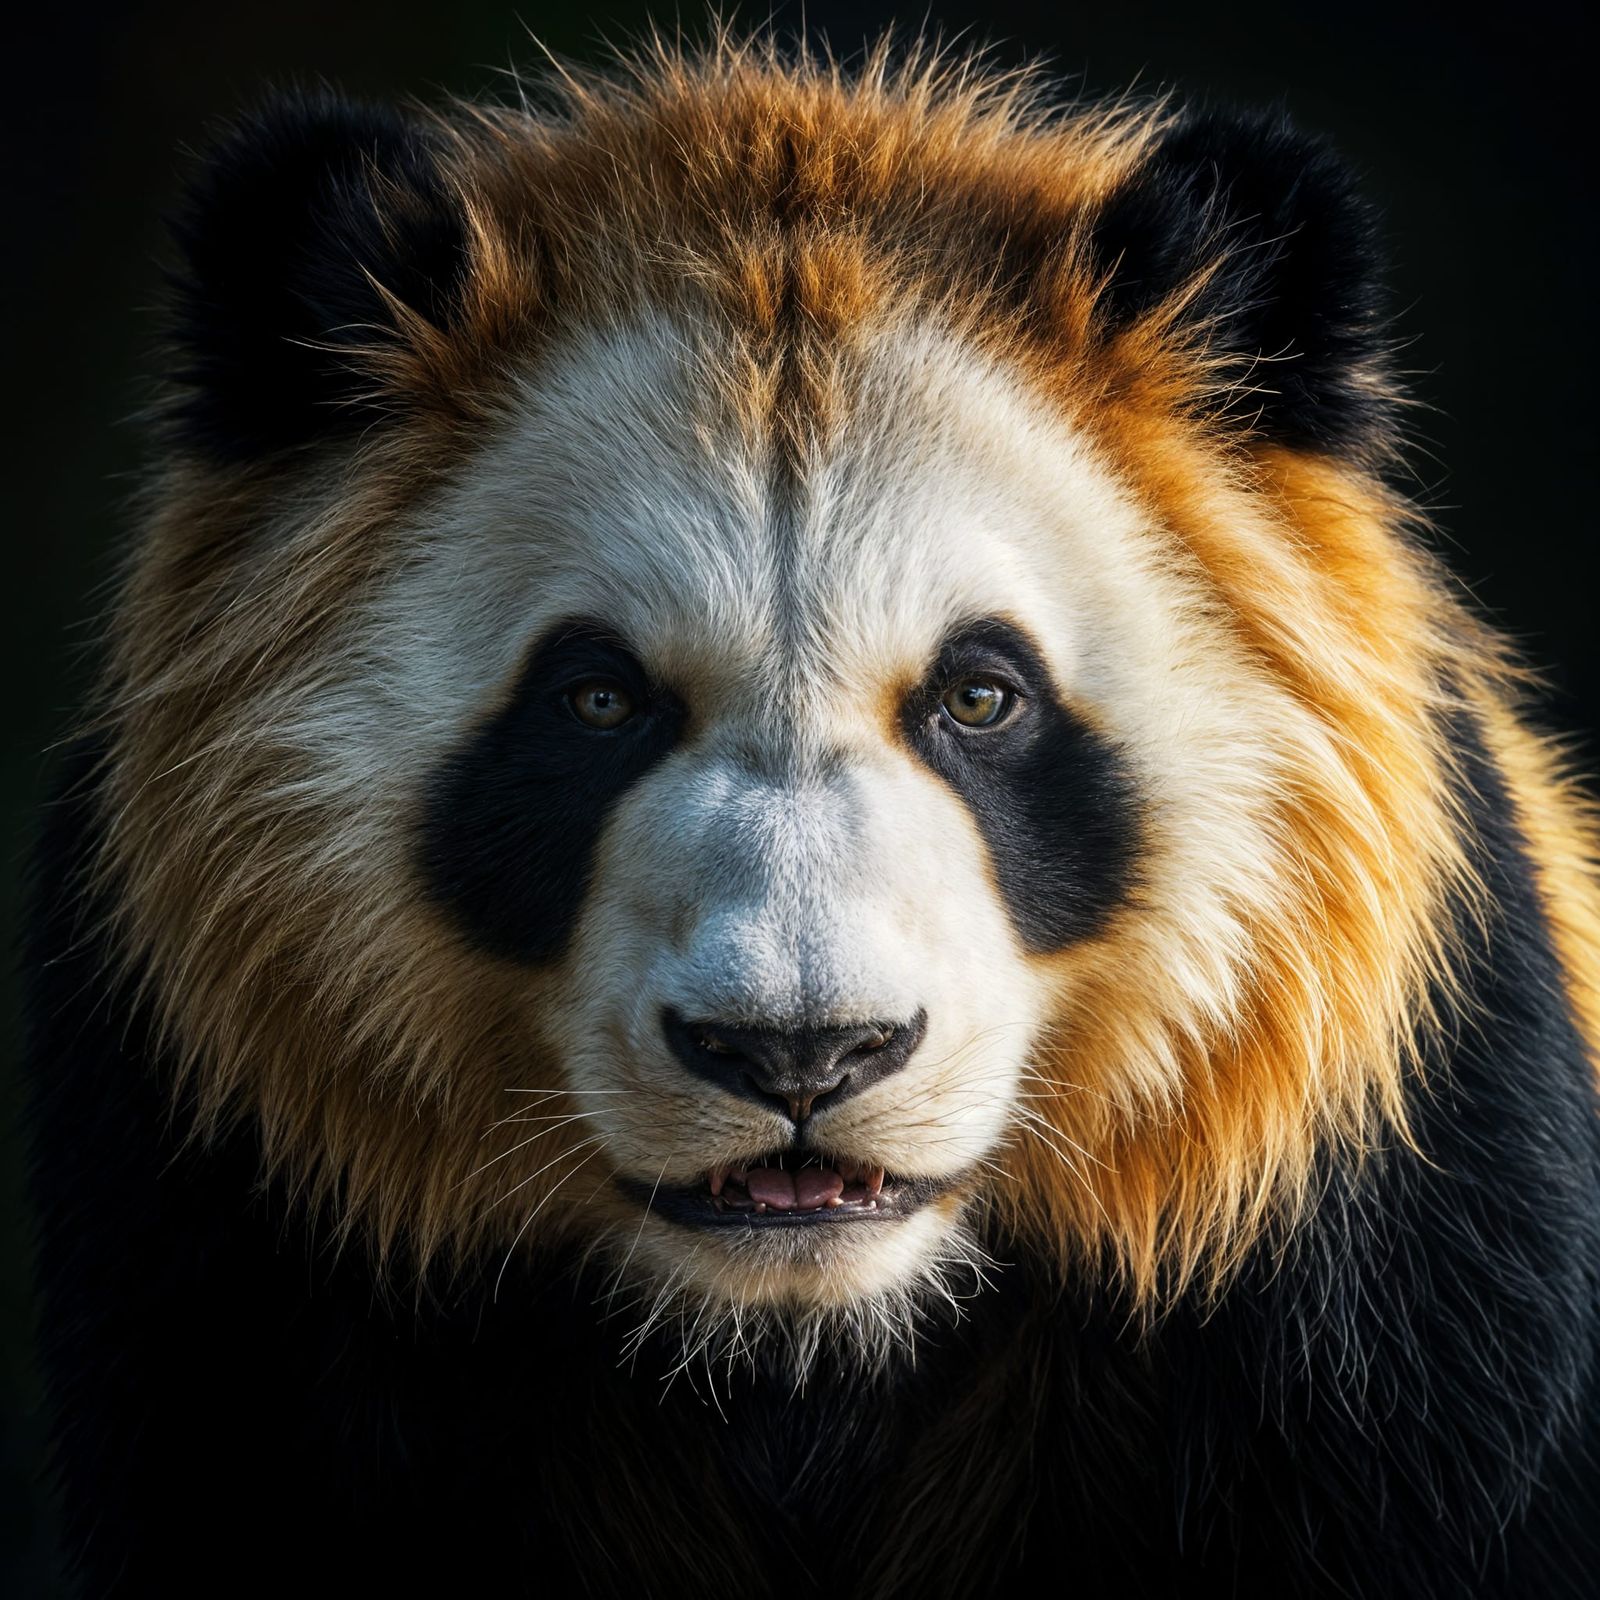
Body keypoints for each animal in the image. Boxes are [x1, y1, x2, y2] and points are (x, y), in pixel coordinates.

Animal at [23, 35, 1600, 1598]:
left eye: (980, 696)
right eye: (596, 699)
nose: (800, 1052)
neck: (804, 1345)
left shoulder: (1394, 1273)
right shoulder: (230, 1234)